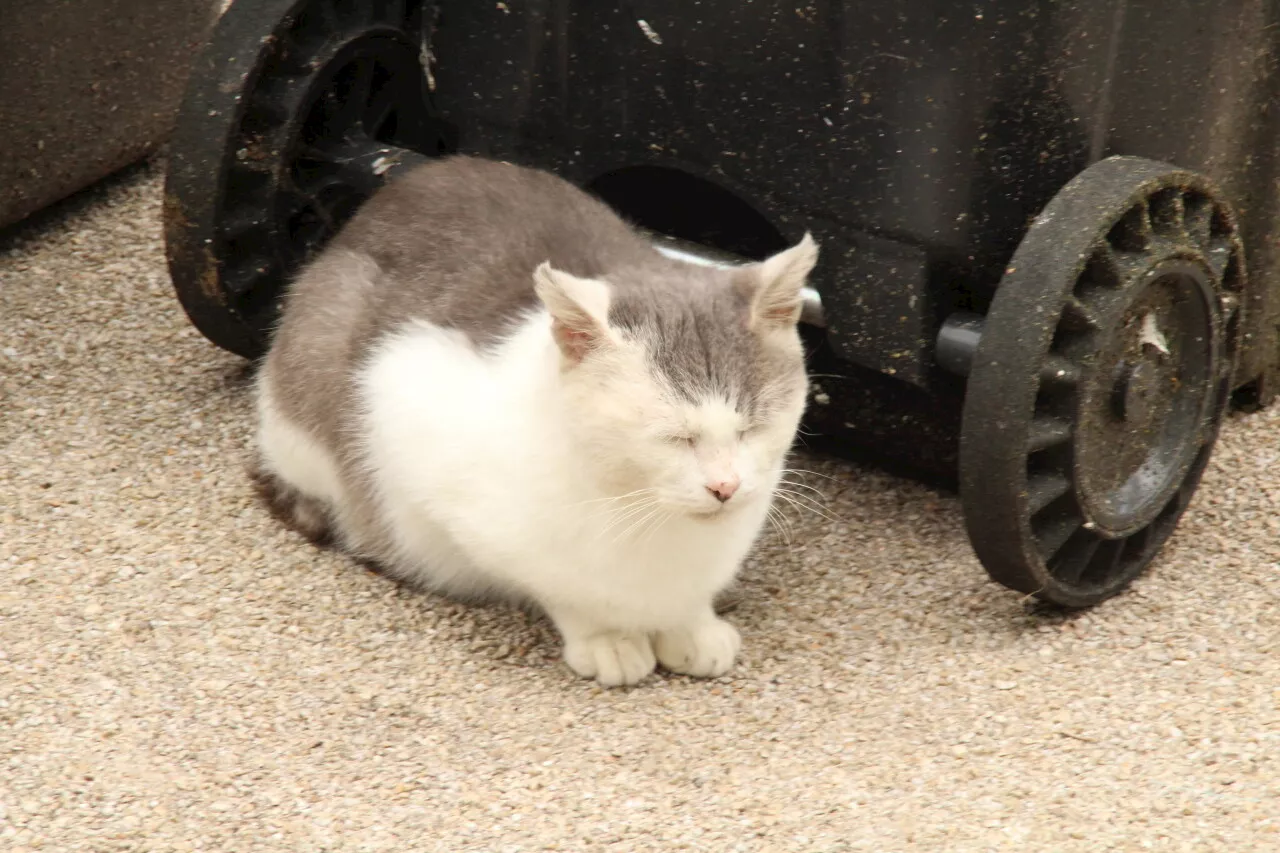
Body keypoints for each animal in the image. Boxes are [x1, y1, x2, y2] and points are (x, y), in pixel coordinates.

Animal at [253, 154, 814, 686]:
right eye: (674, 437)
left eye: (753, 427)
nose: (725, 486)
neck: (639, 513)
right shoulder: (403, 399)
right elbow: (560, 586)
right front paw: (607, 637)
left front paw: (690, 626)